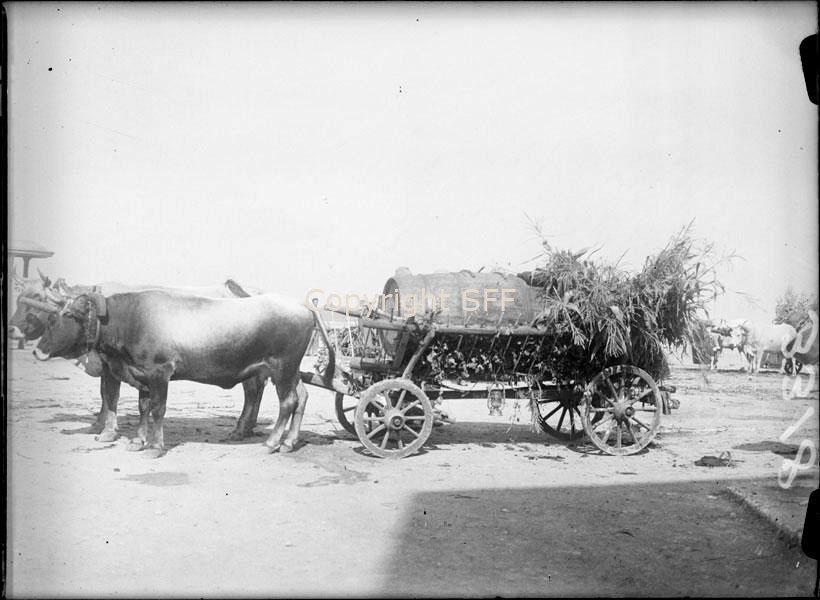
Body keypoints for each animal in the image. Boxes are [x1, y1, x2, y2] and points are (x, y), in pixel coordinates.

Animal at [33, 290, 328, 457]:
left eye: (69, 315)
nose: (36, 351)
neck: (130, 319)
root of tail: (302, 307)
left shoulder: (160, 372)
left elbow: (157, 409)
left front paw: (154, 447)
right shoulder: (141, 375)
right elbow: (143, 408)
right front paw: (138, 441)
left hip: (282, 367)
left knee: (287, 402)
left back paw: (272, 442)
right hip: (290, 372)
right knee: (301, 397)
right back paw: (289, 441)